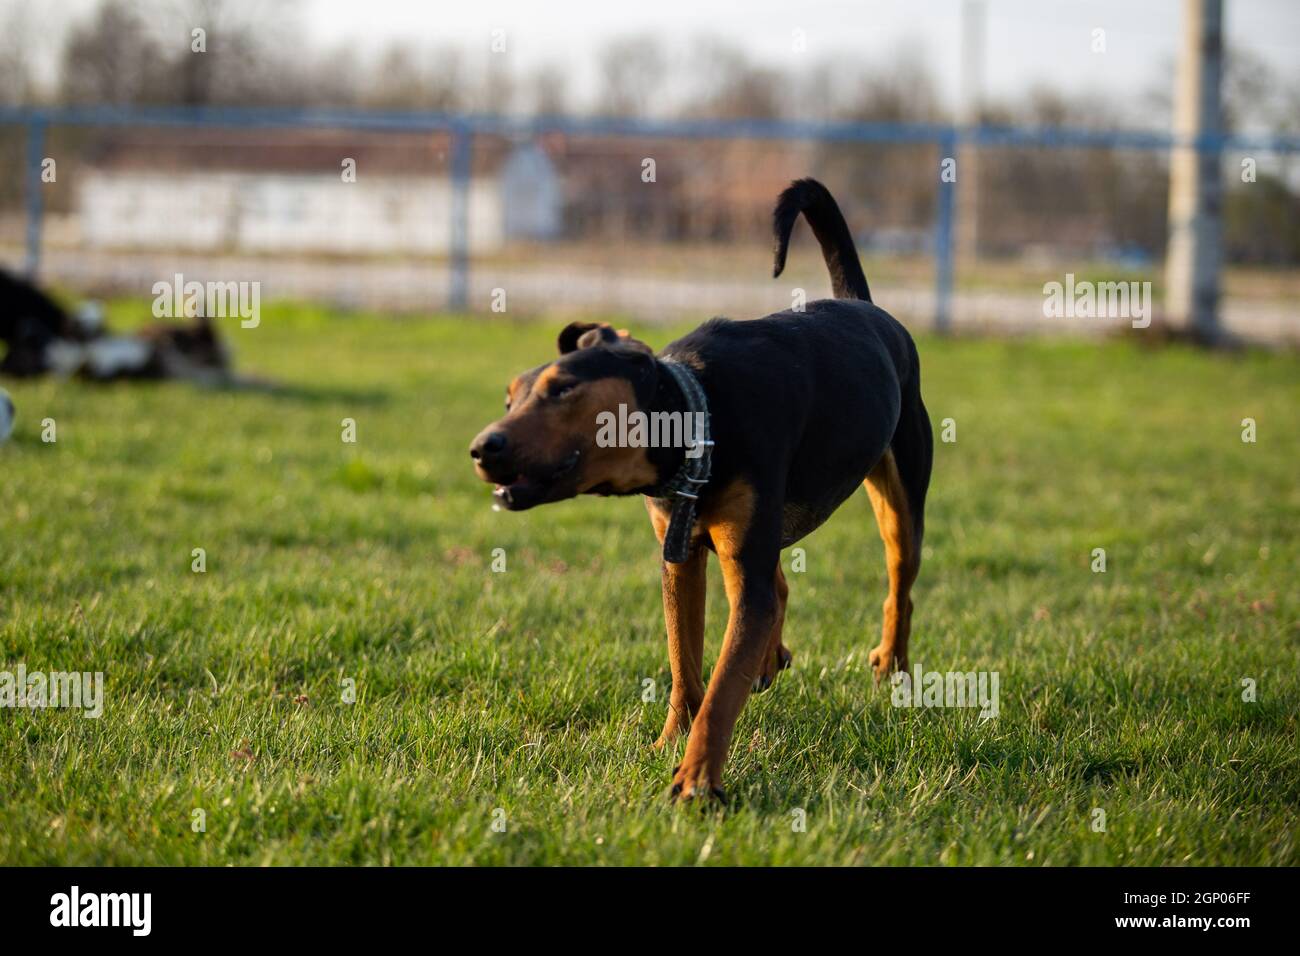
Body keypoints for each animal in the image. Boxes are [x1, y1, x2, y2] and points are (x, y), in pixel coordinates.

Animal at [473, 179, 930, 801]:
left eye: (562, 389)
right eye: (508, 398)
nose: (481, 448)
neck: (696, 414)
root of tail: (866, 306)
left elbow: (721, 687)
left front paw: (696, 781)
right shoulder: (681, 555)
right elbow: (685, 665)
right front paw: (669, 744)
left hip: (900, 498)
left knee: (897, 583)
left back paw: (892, 665)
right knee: (777, 585)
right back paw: (771, 657)